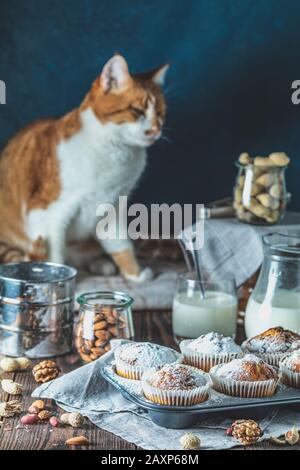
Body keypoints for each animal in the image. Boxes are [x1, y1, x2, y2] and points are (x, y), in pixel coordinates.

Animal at [0, 55, 169, 282]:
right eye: (137, 111)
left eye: (160, 113)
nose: (155, 130)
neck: (116, 153)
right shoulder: (48, 214)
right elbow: (54, 257)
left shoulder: (111, 208)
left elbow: (122, 246)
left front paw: (135, 274)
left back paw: (102, 264)